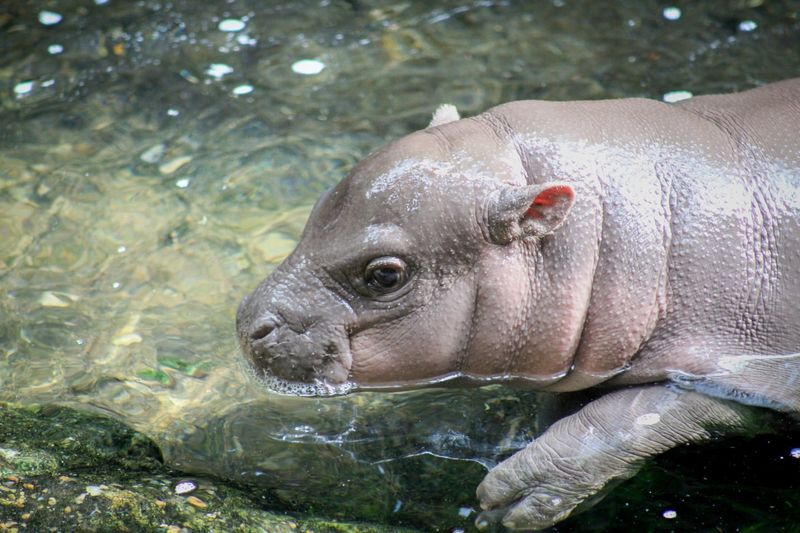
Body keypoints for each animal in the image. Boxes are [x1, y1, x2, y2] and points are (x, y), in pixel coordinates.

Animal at [236, 79, 800, 528]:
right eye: (317, 206)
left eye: (385, 275)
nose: (247, 324)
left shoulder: (751, 365)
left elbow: (639, 409)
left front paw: (509, 501)